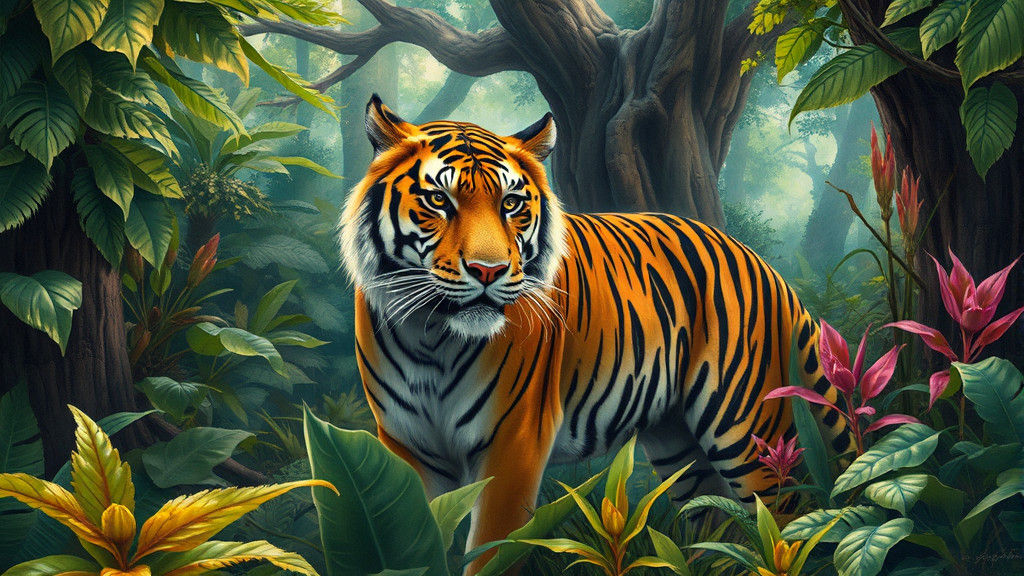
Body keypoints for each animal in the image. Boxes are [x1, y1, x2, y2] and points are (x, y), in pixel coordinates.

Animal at [339, 95, 851, 572]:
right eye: (439, 201)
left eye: (511, 204)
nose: (489, 271)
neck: (432, 336)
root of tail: (762, 265)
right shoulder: (405, 447)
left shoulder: (513, 444)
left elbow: (492, 552)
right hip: (678, 445)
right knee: (714, 523)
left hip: (750, 434)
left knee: (789, 523)